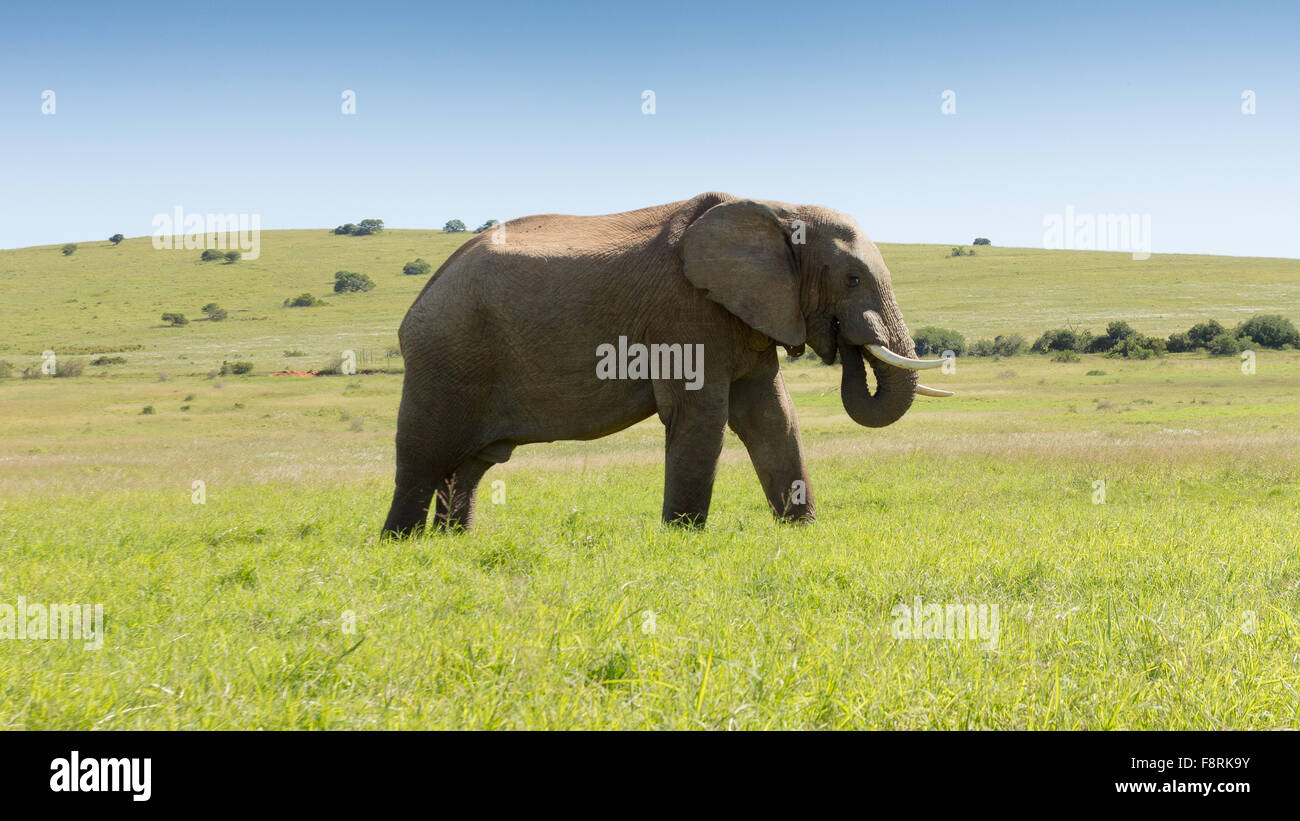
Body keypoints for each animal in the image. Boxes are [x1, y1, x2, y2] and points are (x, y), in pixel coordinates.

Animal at [379, 193, 951, 537]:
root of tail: (423, 294)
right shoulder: (685, 312)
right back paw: (401, 546)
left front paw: (801, 530)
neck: (780, 206)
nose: (846, 344)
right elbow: (702, 418)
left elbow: (772, 418)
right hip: (444, 357)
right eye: (852, 279)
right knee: (422, 459)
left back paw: (453, 543)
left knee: (469, 468)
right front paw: (683, 538)